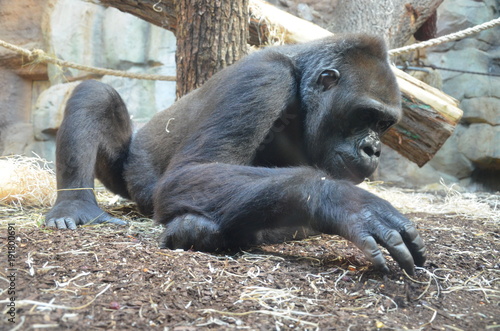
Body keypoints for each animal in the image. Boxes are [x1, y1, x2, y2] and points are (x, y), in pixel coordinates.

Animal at [45, 35, 426, 276]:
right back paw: (74, 206)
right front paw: (342, 201)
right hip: (129, 172)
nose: (373, 149)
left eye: (384, 124)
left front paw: (205, 230)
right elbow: (190, 172)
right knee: (96, 93)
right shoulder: (263, 76)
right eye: (365, 115)